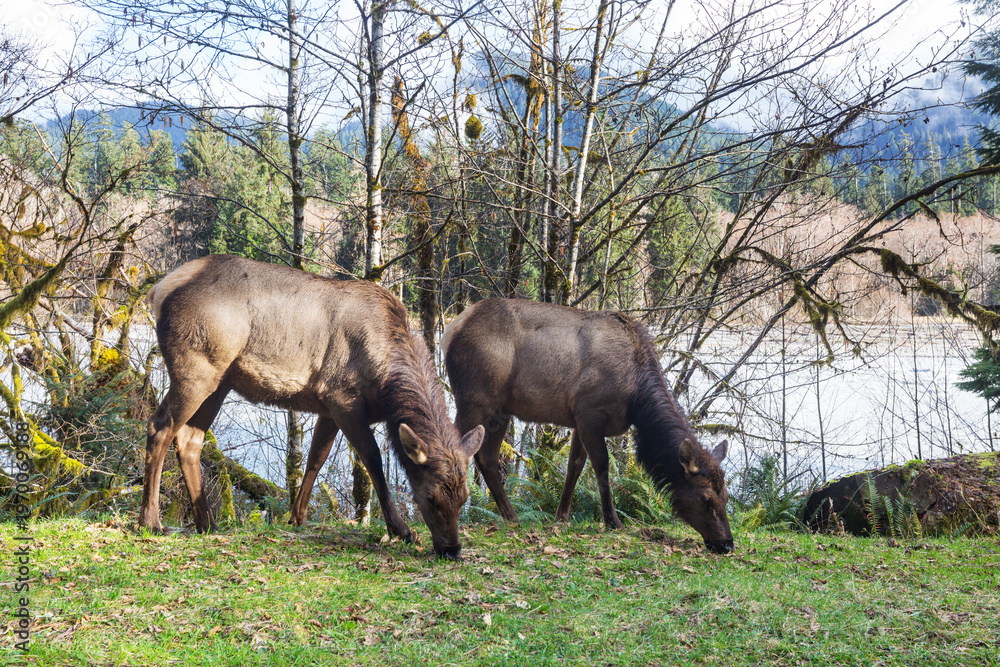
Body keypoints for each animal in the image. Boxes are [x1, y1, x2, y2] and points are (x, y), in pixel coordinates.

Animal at [139, 254, 483, 559]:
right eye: (430, 496)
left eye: (464, 497)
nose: (452, 550)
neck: (386, 385)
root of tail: (158, 290)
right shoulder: (342, 397)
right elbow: (372, 460)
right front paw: (401, 530)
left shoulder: (328, 407)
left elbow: (316, 459)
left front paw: (298, 517)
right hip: (196, 367)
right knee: (159, 427)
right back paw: (151, 522)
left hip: (219, 380)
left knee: (189, 439)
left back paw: (208, 523)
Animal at [442, 298, 734, 554]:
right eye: (706, 497)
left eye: (727, 496)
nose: (727, 543)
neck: (636, 400)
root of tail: (450, 329)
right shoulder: (590, 411)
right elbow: (601, 466)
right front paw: (613, 522)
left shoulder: (578, 418)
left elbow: (575, 466)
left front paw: (561, 516)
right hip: (475, 397)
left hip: (500, 409)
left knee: (487, 457)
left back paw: (511, 516)